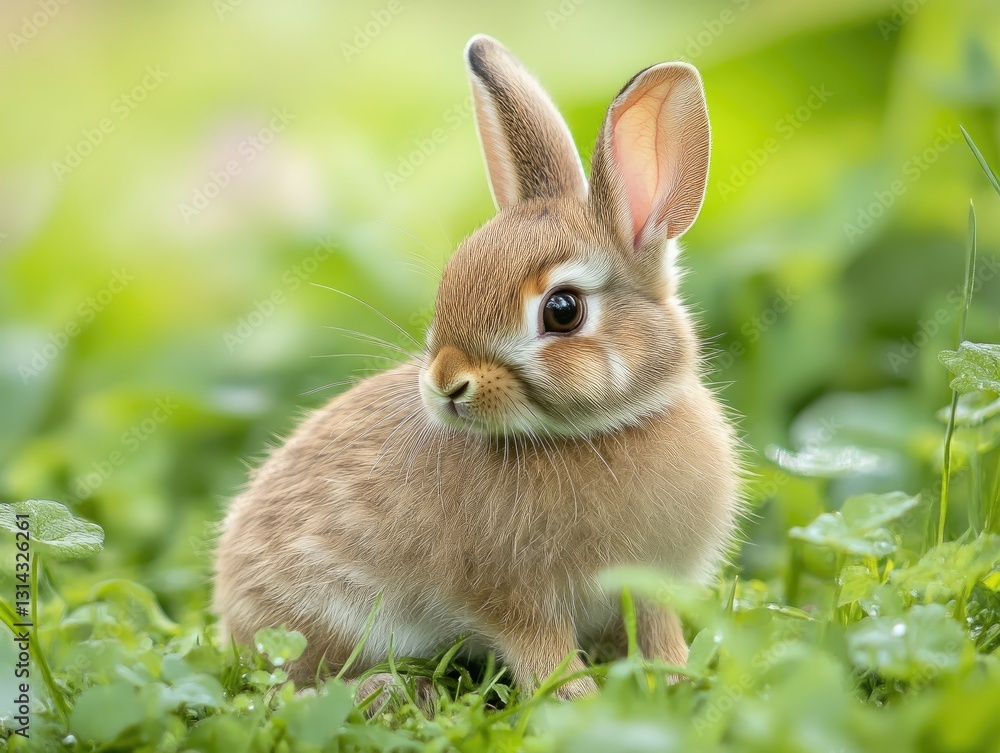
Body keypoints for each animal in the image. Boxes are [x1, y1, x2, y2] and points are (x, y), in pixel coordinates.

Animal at [213, 33, 741, 703]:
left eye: (563, 311)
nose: (445, 384)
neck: (603, 430)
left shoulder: (650, 591)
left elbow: (659, 638)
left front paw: (675, 683)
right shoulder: (516, 600)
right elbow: (549, 663)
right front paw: (585, 707)